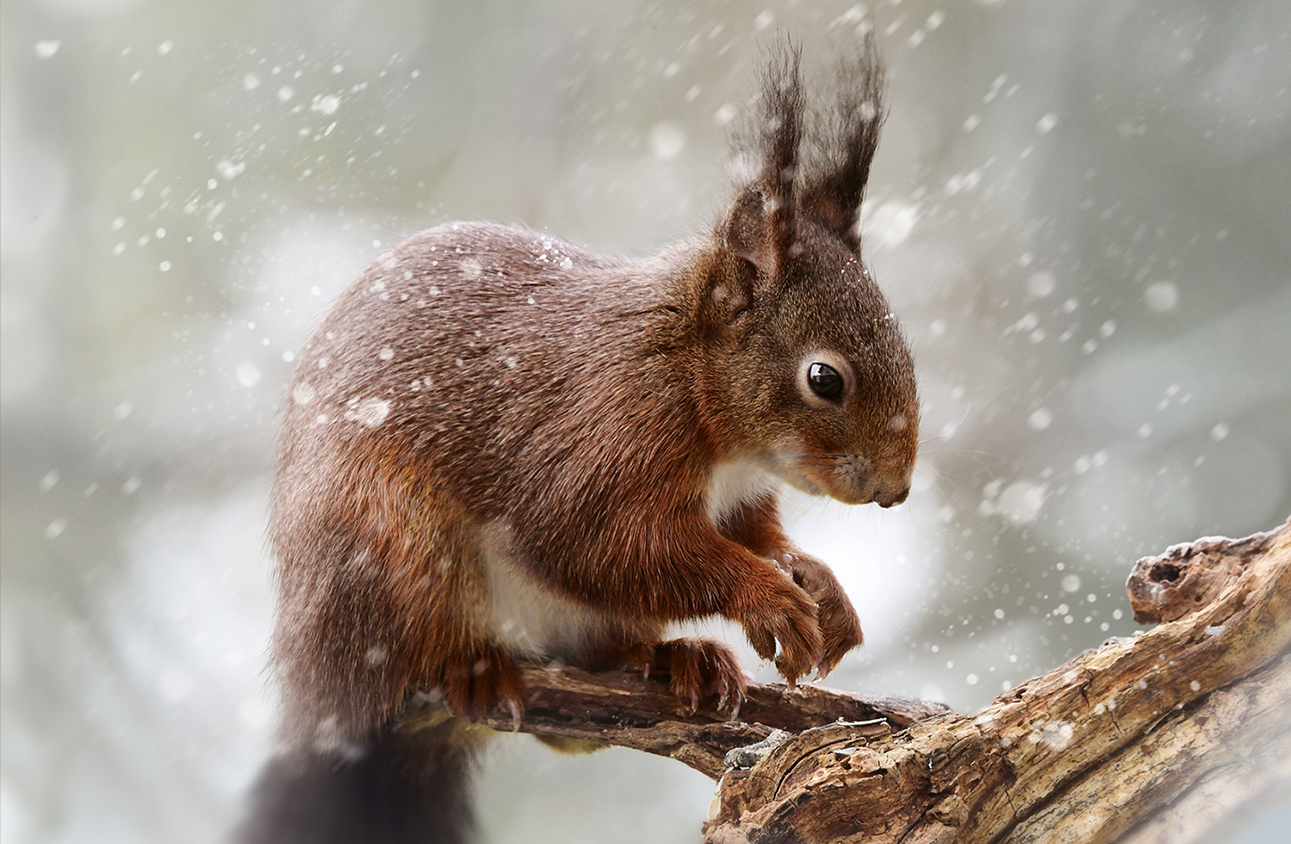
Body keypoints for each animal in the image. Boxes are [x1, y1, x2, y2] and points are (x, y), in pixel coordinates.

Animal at [240, 41, 919, 844]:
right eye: (824, 378)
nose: (896, 490)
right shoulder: (603, 430)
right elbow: (596, 541)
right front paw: (769, 596)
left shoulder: (736, 497)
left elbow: (756, 535)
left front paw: (816, 581)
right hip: (391, 545)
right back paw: (473, 671)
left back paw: (677, 658)